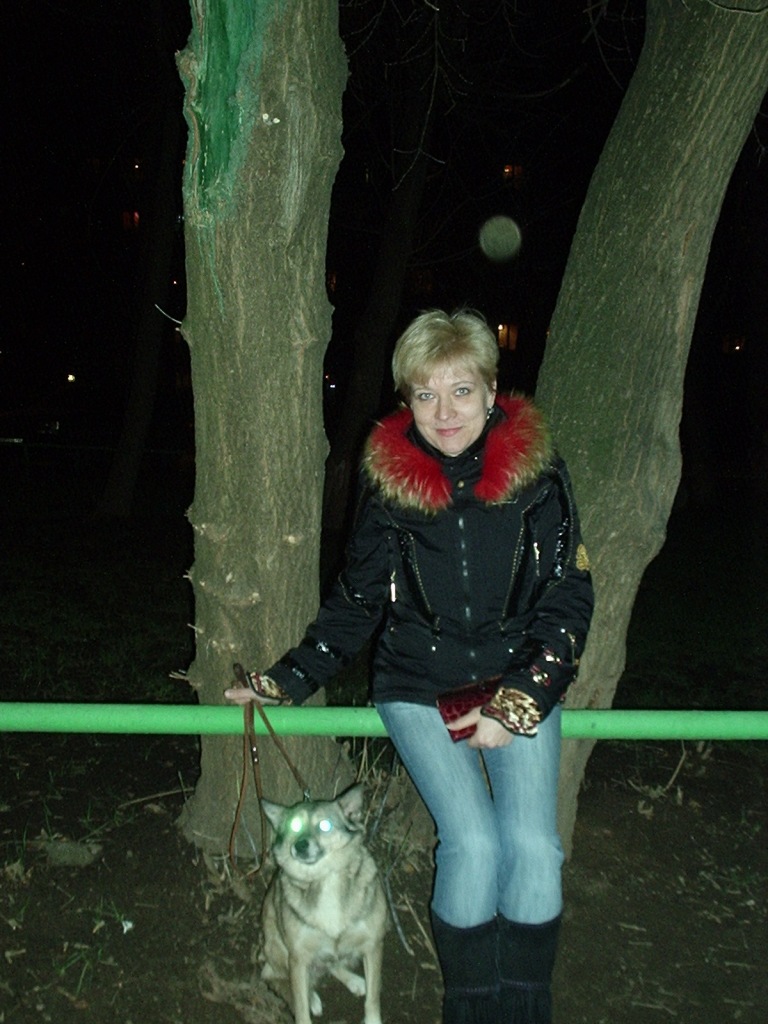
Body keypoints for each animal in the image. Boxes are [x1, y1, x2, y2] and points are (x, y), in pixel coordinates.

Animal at [260, 783, 388, 1024]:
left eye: (324, 825)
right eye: (295, 826)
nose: (300, 845)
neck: (326, 878)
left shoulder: (373, 945)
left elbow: (374, 997)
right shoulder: (298, 957)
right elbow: (300, 1008)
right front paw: (306, 1003)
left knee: (333, 963)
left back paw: (354, 981)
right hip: (278, 947)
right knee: (274, 976)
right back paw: (311, 997)